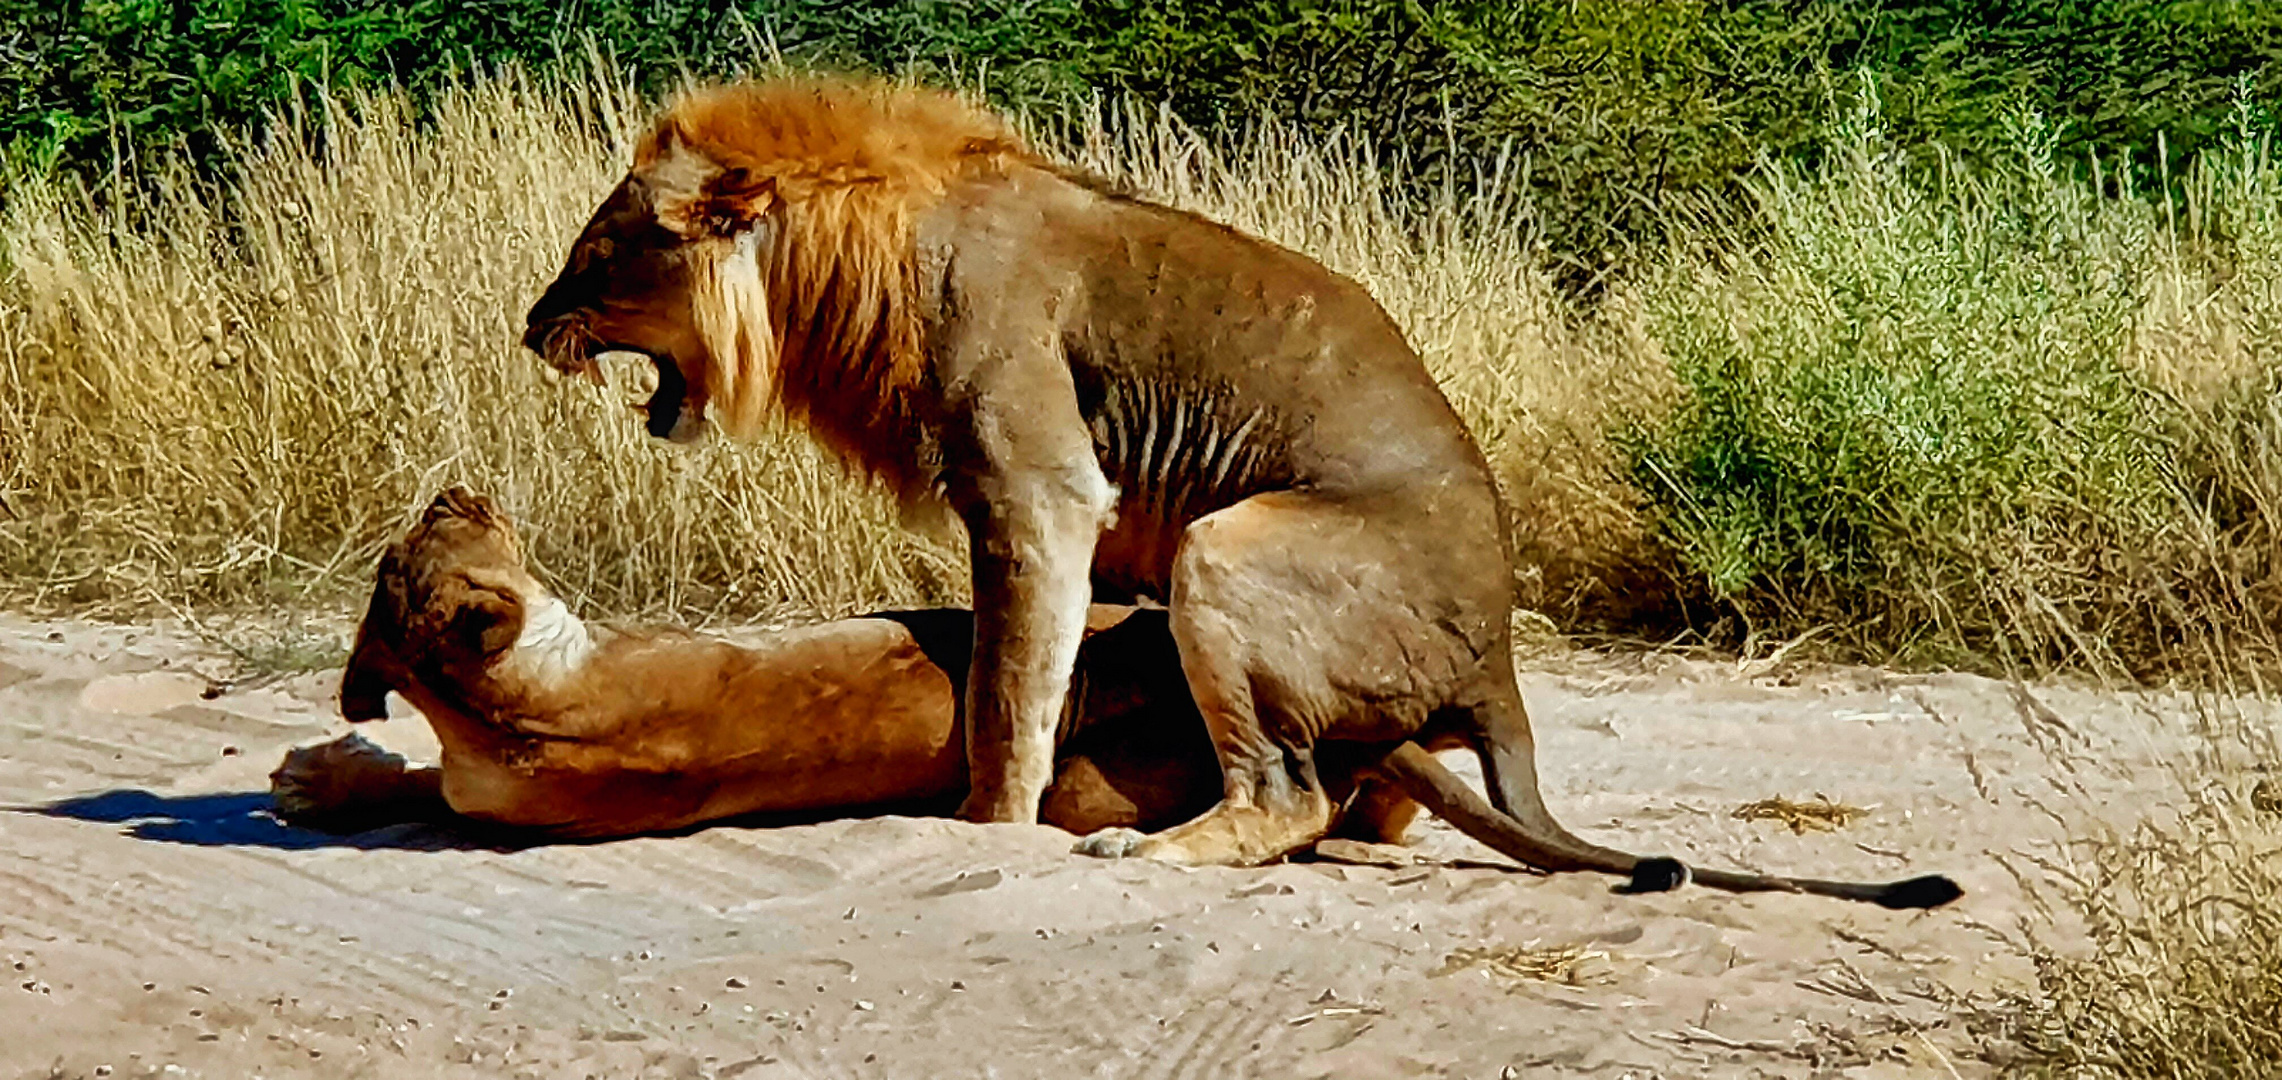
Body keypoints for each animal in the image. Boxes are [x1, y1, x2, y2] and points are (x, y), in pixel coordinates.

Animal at [522, 75, 1962, 904]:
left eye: (597, 254)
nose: (530, 328)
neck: (846, 264)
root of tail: (1496, 654)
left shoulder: (1041, 494)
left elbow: (1006, 702)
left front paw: (989, 831)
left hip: (1227, 541)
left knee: (1286, 797)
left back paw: (1143, 850)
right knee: (1360, 802)